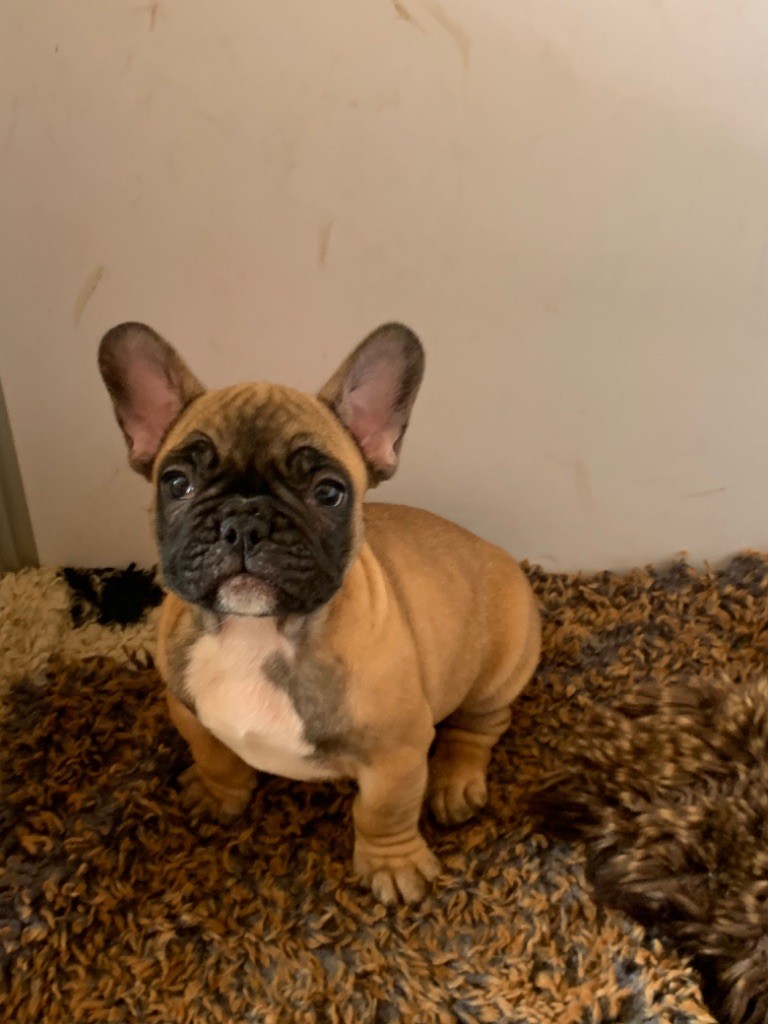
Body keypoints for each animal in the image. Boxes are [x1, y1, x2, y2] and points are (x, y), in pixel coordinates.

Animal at [98, 321, 541, 904]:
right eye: (176, 483)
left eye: (328, 492)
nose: (244, 520)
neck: (257, 633)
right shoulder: (187, 708)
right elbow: (213, 754)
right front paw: (218, 795)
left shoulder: (396, 756)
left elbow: (383, 812)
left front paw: (393, 864)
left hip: (498, 670)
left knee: (480, 726)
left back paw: (455, 782)